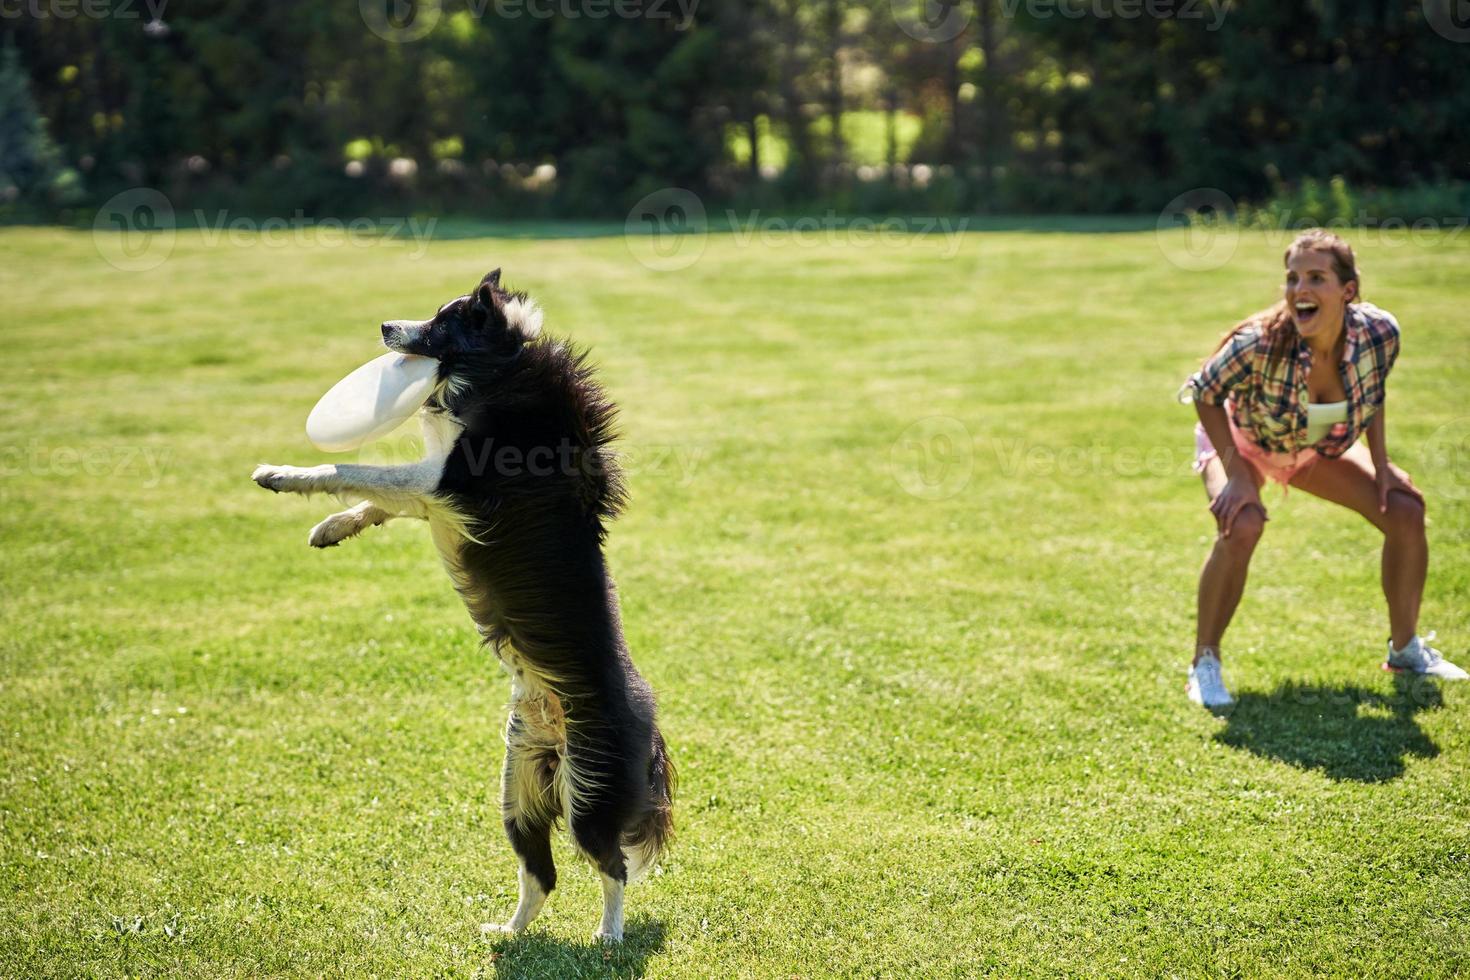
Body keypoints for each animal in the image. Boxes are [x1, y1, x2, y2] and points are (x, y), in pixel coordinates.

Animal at [249, 270, 673, 940]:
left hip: (589, 791)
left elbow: (355, 468)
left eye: (441, 322)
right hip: (518, 789)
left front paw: (283, 475)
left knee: (612, 866)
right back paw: (510, 932)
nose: (384, 326)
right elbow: (377, 500)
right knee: (542, 875)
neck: (504, 367)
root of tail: (651, 724)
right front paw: (333, 527)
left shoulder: (446, 483)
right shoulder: (436, 498)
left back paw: (608, 936)